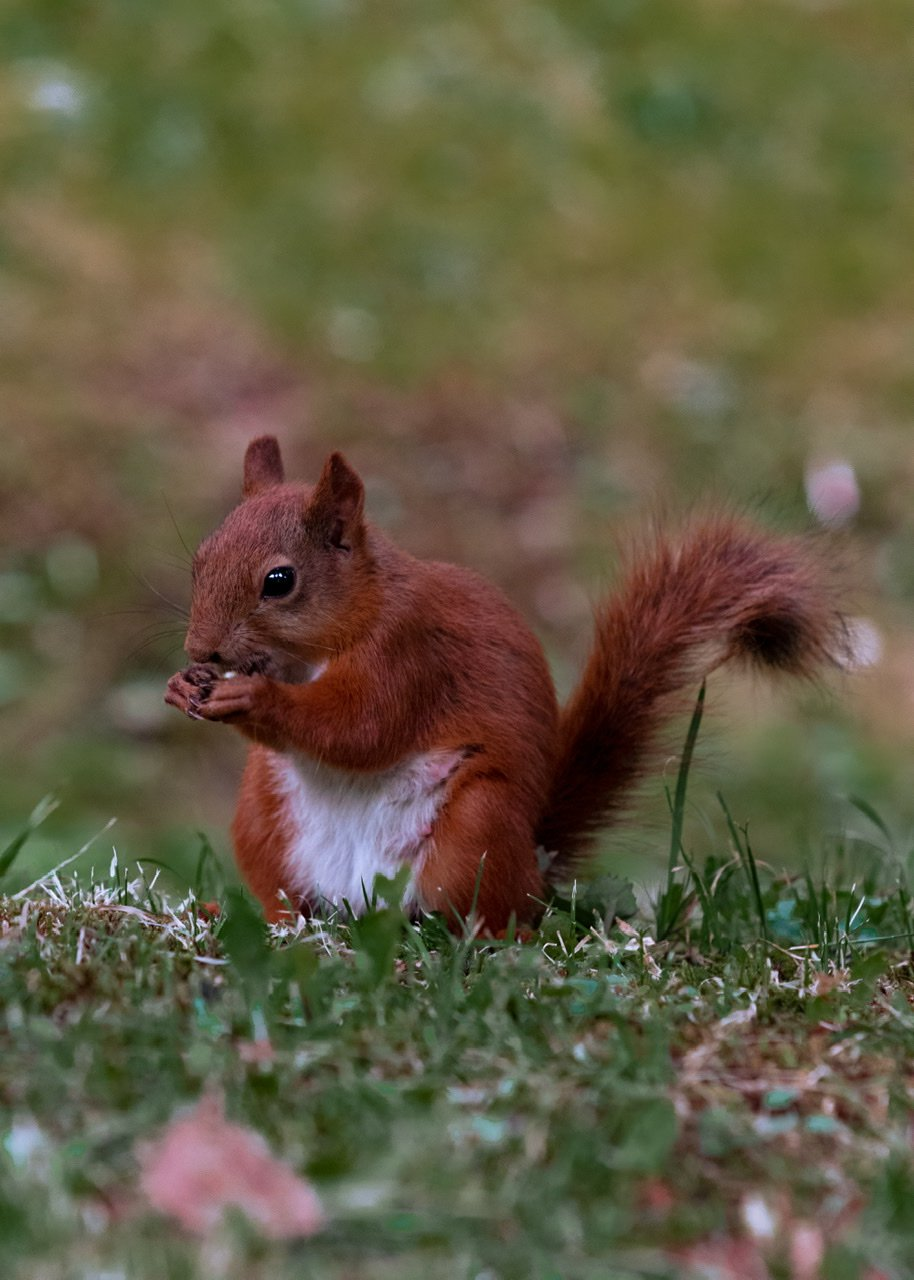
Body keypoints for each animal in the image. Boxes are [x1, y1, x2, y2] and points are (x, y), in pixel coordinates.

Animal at [161, 437, 839, 931]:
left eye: (279, 581)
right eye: (200, 560)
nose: (200, 649)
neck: (316, 652)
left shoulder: (410, 657)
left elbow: (360, 728)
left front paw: (252, 697)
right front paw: (182, 685)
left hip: (475, 832)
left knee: (497, 915)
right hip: (263, 821)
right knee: (288, 902)